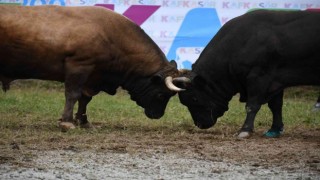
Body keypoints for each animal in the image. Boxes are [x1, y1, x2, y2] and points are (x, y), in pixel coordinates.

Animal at [0, 5, 184, 129]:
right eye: (161, 95)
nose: (158, 115)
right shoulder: (79, 66)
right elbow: (72, 94)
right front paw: (67, 122)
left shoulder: (93, 76)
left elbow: (85, 98)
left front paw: (83, 122)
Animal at [175, 9, 320, 139]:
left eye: (194, 98)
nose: (200, 124)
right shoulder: (276, 81)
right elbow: (276, 106)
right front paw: (274, 129)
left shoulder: (259, 77)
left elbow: (252, 105)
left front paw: (245, 130)